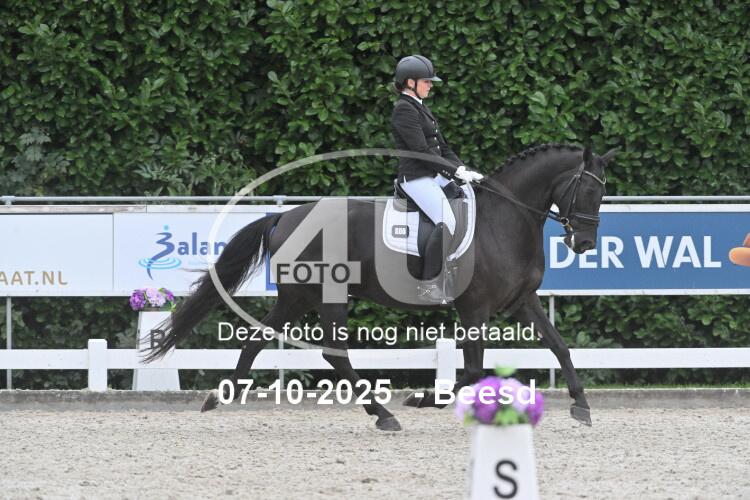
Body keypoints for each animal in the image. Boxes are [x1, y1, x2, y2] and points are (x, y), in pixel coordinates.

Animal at [144, 143, 616, 431]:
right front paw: (423, 400)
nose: (584, 243)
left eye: (602, 193)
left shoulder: (521, 301)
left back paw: (220, 397)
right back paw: (384, 413)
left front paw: (581, 405)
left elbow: (558, 345)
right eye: (586, 190)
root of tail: (286, 216)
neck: (507, 220)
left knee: (258, 337)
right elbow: (473, 371)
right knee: (333, 354)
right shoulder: (475, 310)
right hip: (326, 295)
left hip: (298, 296)